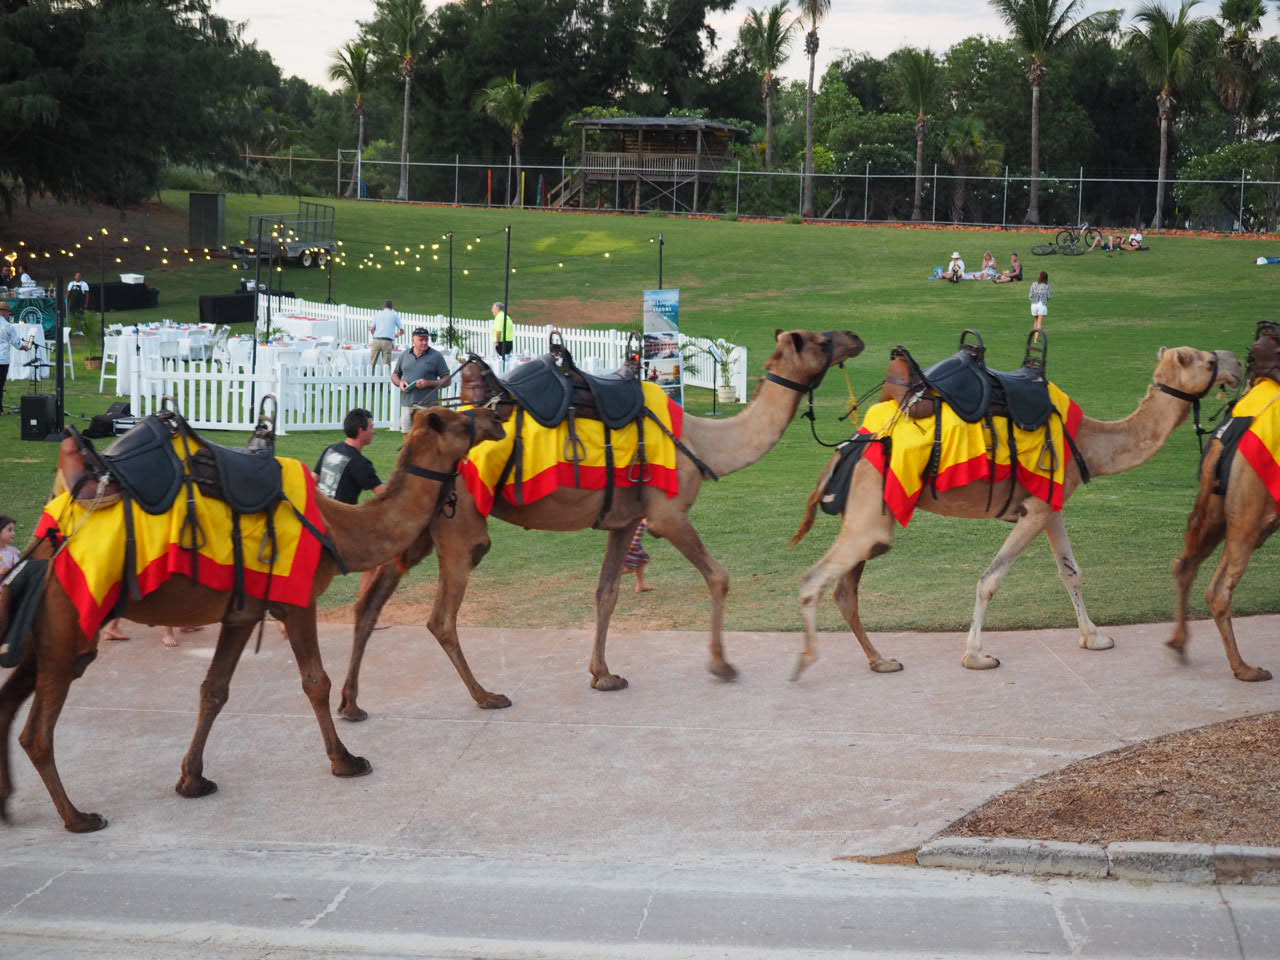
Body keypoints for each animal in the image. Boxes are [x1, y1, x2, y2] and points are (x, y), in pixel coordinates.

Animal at [0, 406, 503, 832]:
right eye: (462, 421)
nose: (495, 415)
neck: (339, 527)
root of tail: (49, 535)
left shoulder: (242, 613)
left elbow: (214, 690)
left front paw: (192, 780)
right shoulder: (297, 600)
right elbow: (315, 682)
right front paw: (345, 761)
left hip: (45, 629)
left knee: (11, 700)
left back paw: (8, 804)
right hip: (70, 618)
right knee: (36, 733)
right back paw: (78, 817)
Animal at [336, 329, 865, 719]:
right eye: (818, 340)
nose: (855, 337)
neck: (703, 441)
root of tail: (414, 439)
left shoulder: (622, 521)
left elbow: (606, 593)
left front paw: (603, 674)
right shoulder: (668, 514)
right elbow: (718, 575)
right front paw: (721, 666)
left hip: (419, 526)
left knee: (369, 604)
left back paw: (351, 704)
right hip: (461, 525)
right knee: (440, 617)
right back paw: (487, 696)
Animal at [790, 345, 1241, 677]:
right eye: (1207, 360)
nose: (1236, 362)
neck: (1088, 442)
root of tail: (851, 447)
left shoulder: (1052, 505)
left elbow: (1070, 571)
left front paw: (1094, 638)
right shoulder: (1035, 510)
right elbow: (990, 579)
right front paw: (977, 656)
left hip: (867, 518)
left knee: (845, 590)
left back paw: (881, 660)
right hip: (872, 516)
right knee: (815, 579)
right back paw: (806, 664)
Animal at [1169, 329, 1280, 681]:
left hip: (1218, 507)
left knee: (1186, 563)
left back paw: (1179, 645)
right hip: (1250, 508)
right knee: (1219, 592)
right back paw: (1245, 669)